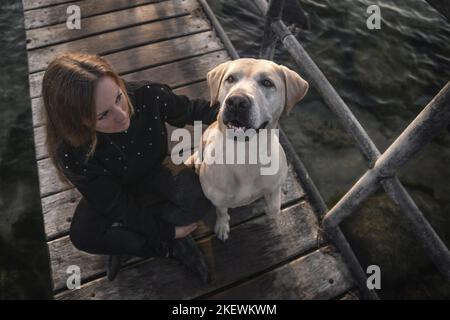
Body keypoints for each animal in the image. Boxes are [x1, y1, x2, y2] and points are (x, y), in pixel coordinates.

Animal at [185, 58, 308, 241]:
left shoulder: (275, 185)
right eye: (230, 79)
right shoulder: (217, 198)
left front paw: (269, 210)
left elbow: (274, 207)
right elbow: (221, 211)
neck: (245, 154)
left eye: (267, 83)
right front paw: (222, 226)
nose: (236, 101)